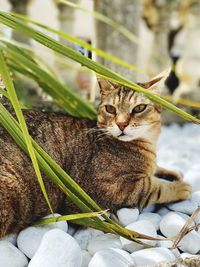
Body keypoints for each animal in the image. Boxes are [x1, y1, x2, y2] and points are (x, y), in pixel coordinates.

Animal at [0, 69, 192, 239]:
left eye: (139, 108)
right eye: (110, 109)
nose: (121, 124)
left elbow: (157, 170)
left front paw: (172, 173)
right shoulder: (109, 188)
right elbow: (152, 187)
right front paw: (180, 187)